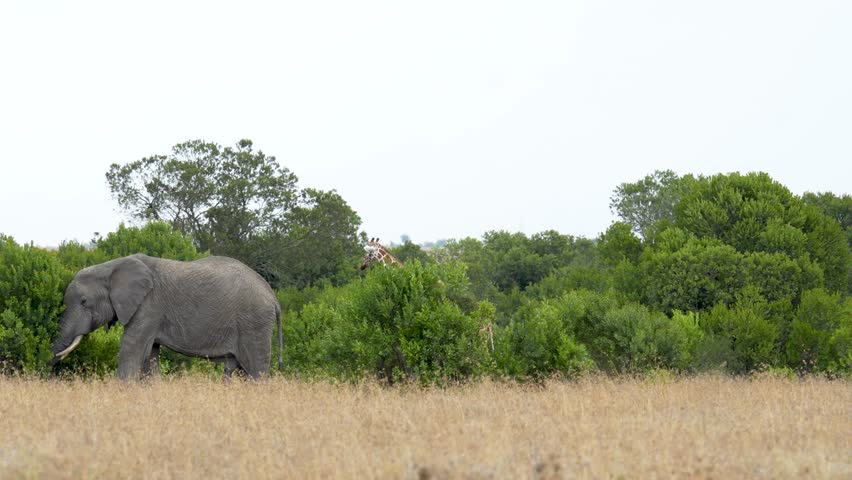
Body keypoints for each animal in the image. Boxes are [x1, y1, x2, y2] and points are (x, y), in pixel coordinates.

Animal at [49, 253, 282, 380]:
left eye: (84, 302)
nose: (51, 365)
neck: (111, 266)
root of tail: (273, 296)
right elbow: (149, 356)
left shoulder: (148, 307)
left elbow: (131, 351)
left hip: (254, 323)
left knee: (256, 370)